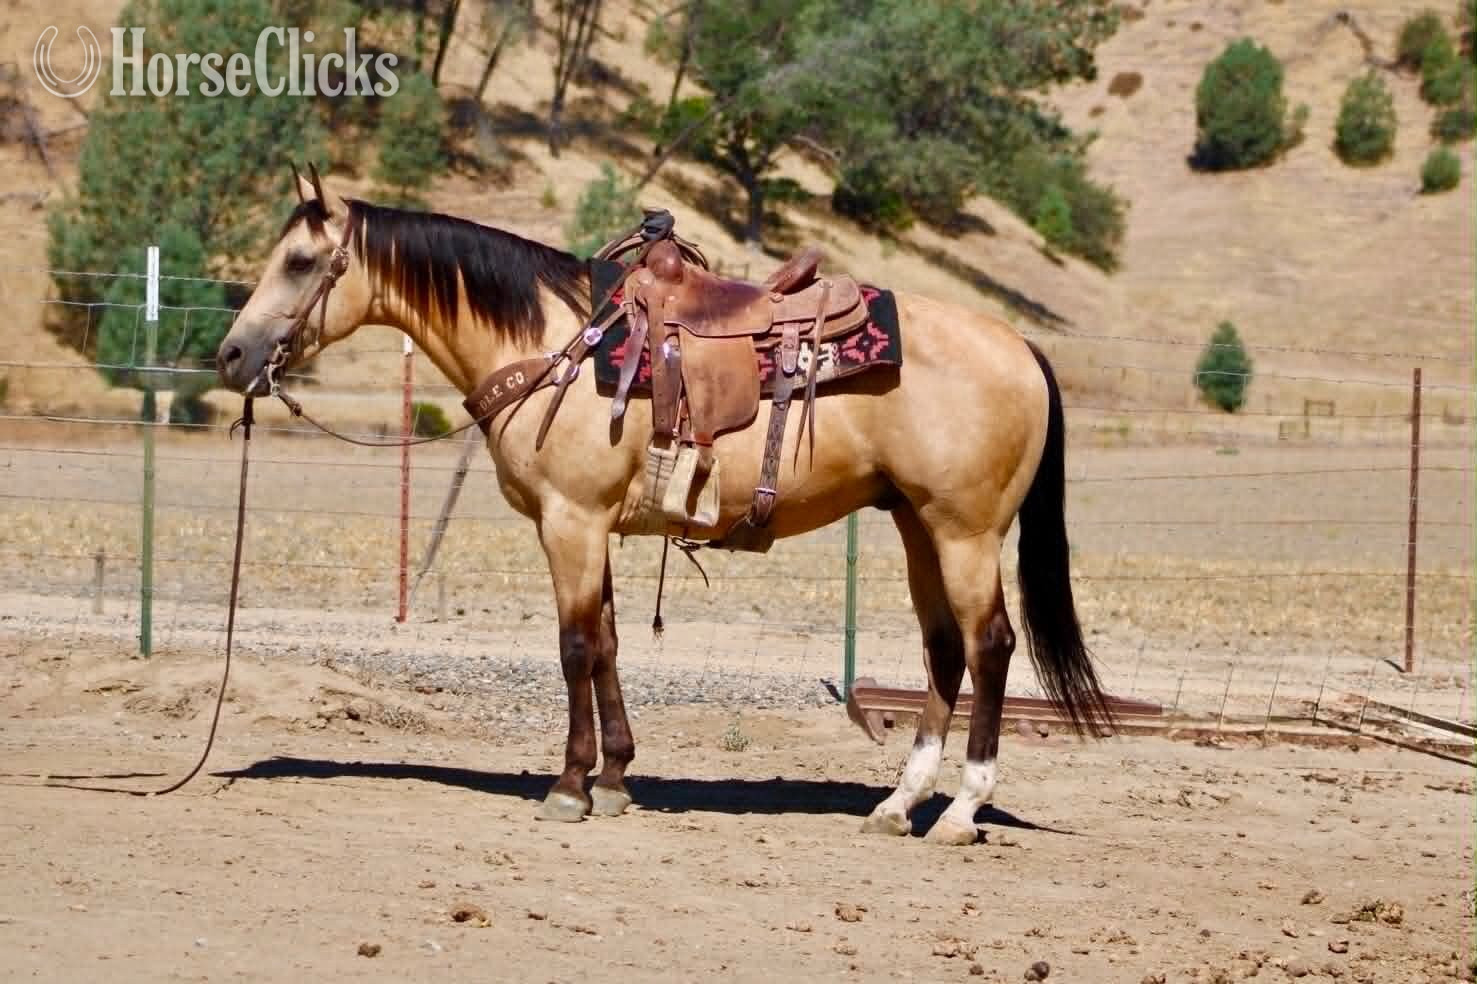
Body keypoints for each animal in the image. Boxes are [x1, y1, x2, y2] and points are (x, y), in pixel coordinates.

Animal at [215, 169, 1112, 845]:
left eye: (300, 261)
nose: (231, 355)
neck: (555, 344)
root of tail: (1018, 346)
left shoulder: (569, 522)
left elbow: (575, 648)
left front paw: (570, 785)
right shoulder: (592, 526)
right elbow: (609, 644)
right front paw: (614, 776)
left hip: (966, 531)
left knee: (989, 645)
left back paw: (960, 812)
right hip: (917, 526)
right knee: (943, 649)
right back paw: (897, 805)